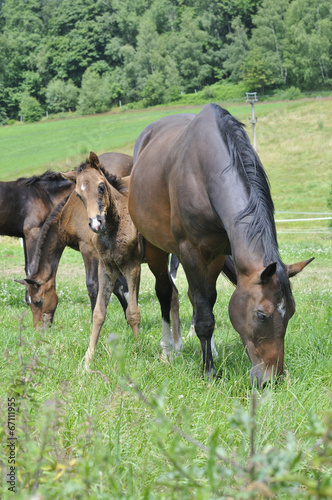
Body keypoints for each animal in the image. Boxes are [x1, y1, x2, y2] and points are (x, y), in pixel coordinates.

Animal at [16, 191, 129, 328]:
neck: (69, 213)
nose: (38, 329)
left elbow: (93, 285)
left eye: (38, 301)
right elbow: (117, 286)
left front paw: (93, 322)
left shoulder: (89, 249)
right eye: (29, 302)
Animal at [130, 102, 314, 386]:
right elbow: (205, 317)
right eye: (262, 315)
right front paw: (209, 372)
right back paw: (168, 349)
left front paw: (211, 354)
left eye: (291, 312)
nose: (271, 380)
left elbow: (208, 301)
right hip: (155, 248)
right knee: (165, 292)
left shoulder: (216, 255)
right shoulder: (191, 252)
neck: (204, 173)